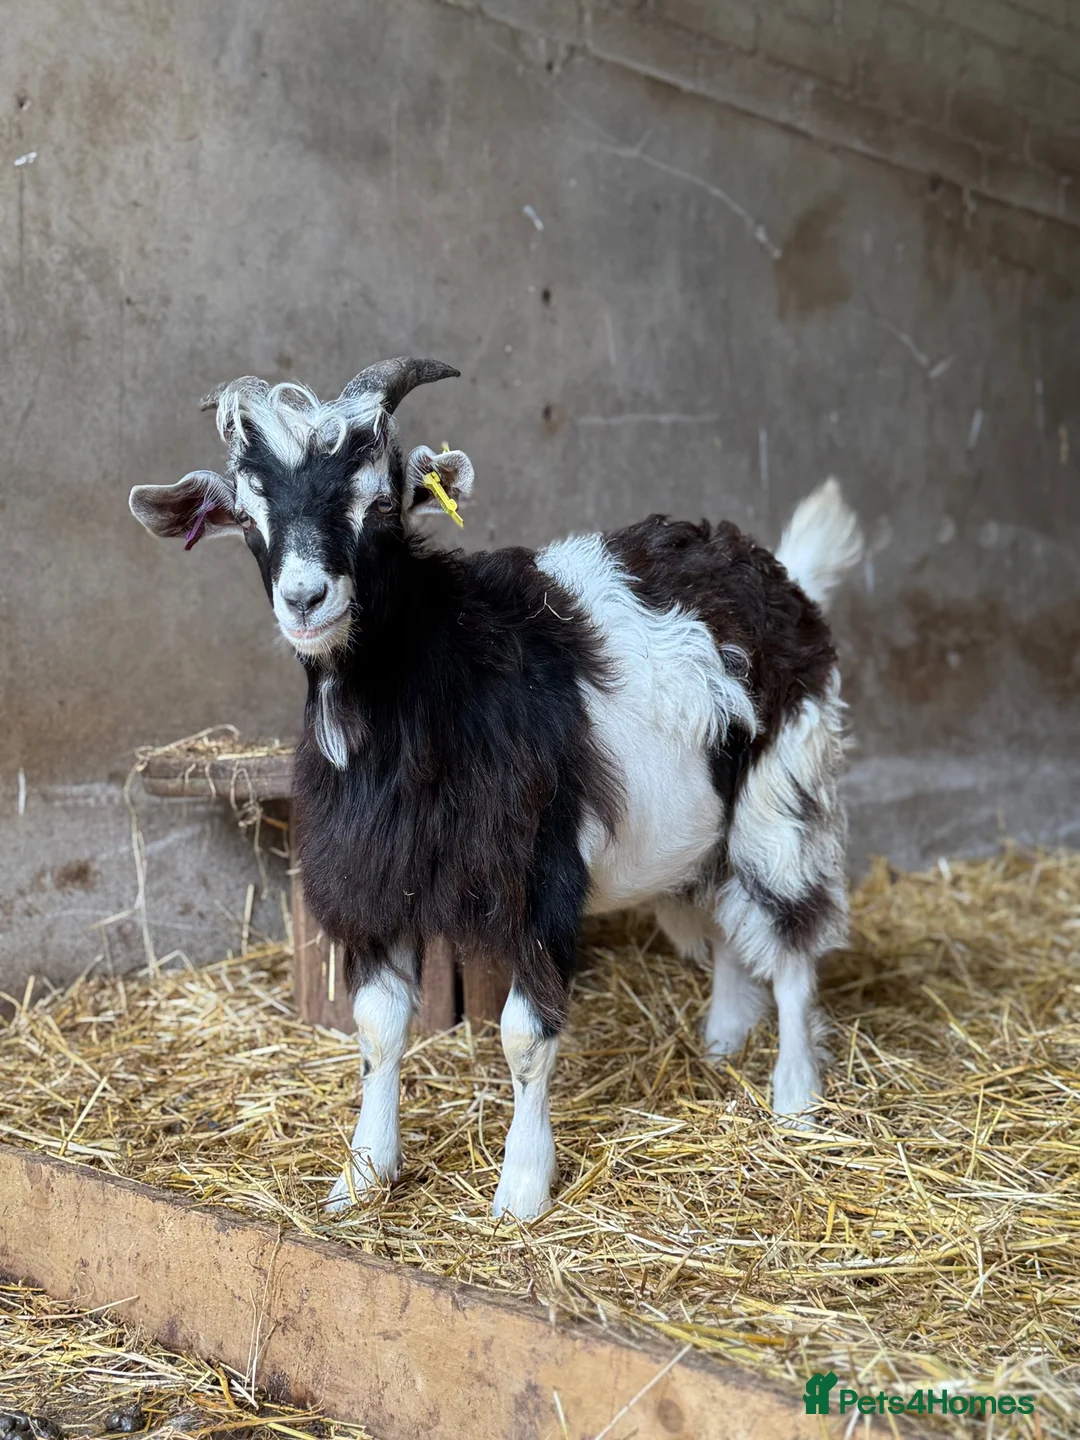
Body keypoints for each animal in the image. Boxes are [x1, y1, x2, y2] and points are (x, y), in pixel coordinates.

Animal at [130, 357, 864, 1220]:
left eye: (380, 502)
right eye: (248, 518)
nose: (306, 599)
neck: (431, 681)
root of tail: (786, 580)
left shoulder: (539, 875)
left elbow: (523, 1037)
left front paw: (521, 1188)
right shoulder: (377, 875)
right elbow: (378, 1026)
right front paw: (363, 1173)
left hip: (783, 795)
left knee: (793, 939)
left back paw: (796, 1095)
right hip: (693, 829)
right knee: (722, 919)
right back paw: (722, 1038)